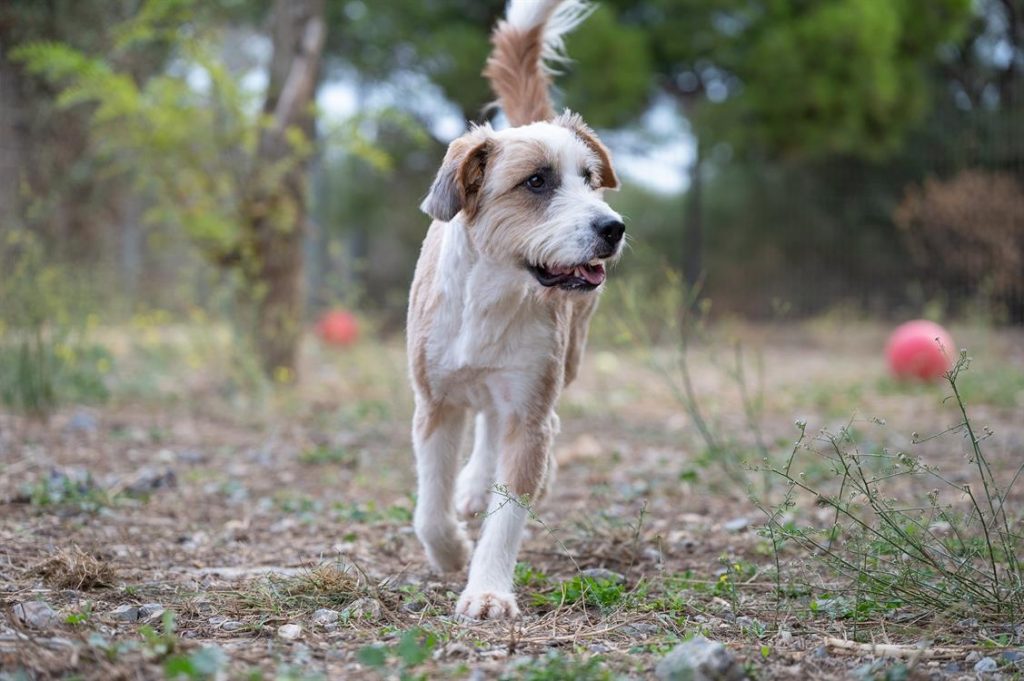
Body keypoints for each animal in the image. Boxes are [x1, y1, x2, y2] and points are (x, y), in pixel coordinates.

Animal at [407, 0, 622, 618]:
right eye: (536, 181)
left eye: (589, 180)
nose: (613, 228)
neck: (495, 293)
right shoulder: (434, 403)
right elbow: (429, 505)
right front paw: (450, 551)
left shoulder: (529, 410)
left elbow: (508, 517)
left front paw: (486, 591)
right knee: (483, 420)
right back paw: (473, 486)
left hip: (562, 365)